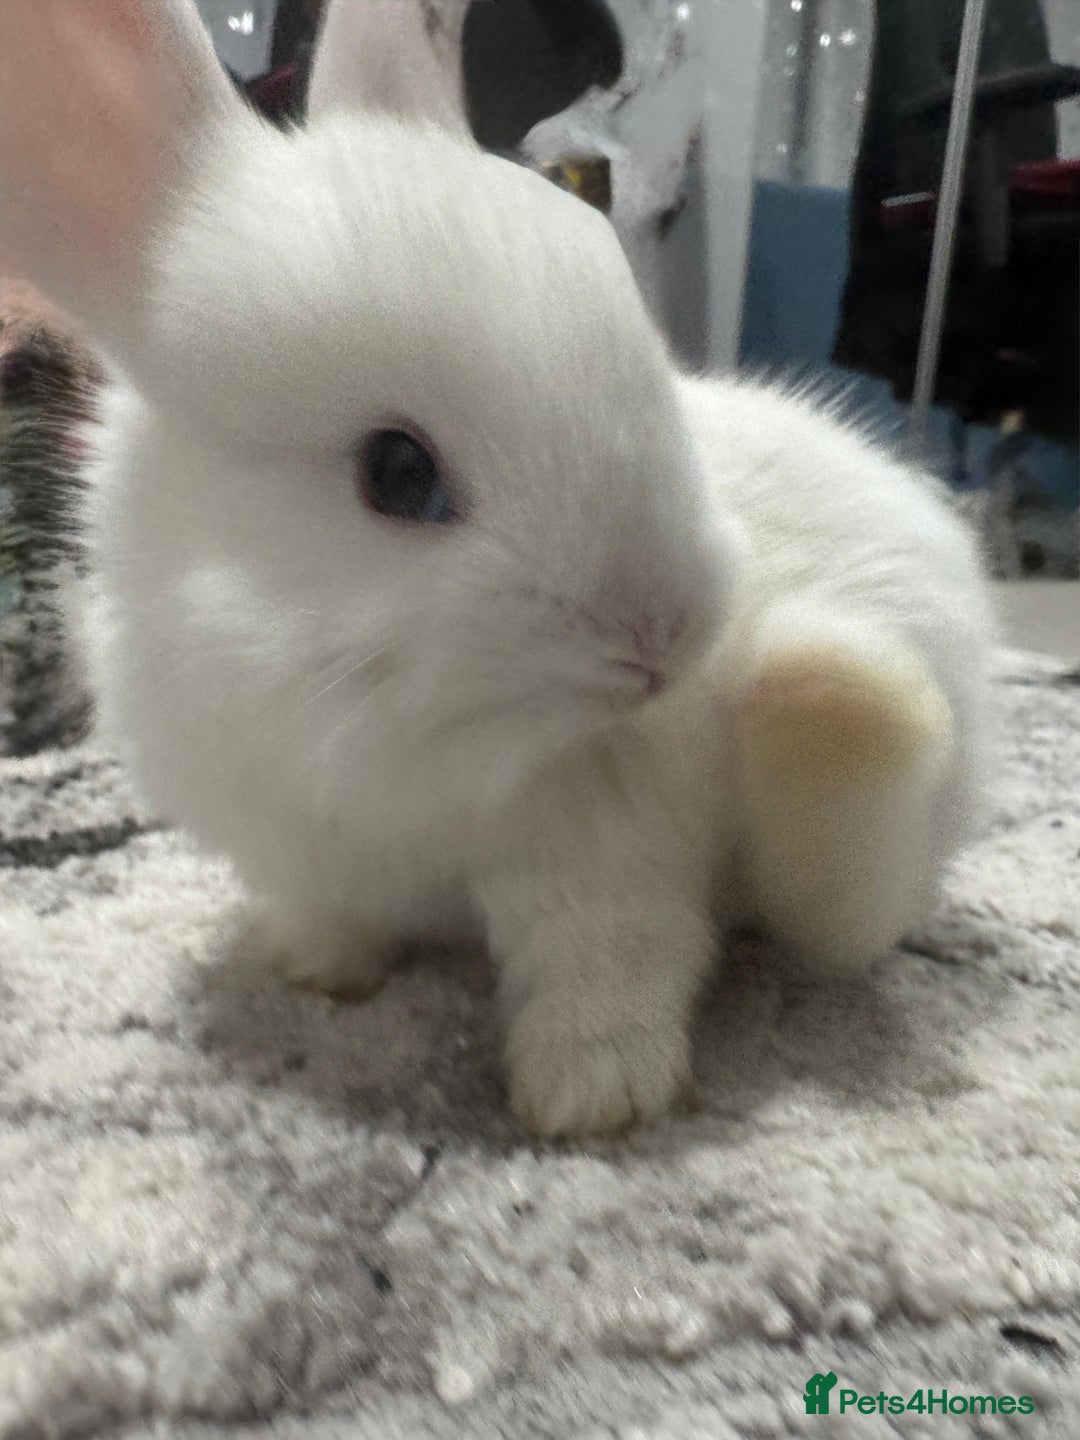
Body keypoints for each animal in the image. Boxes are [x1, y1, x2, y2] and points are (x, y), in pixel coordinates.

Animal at [0, 0, 996, 1139]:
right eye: (396, 473)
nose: (672, 633)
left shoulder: (603, 851)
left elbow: (609, 969)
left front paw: (590, 1099)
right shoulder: (298, 852)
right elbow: (335, 919)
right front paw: (318, 975)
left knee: (844, 904)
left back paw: (833, 684)